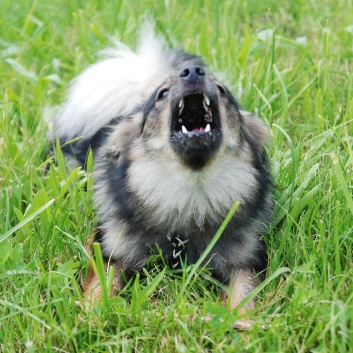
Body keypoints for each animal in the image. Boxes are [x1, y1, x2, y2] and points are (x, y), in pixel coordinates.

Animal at [50, 22, 272, 324]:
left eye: (222, 90)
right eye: (162, 95)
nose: (192, 72)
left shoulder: (244, 258)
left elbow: (245, 291)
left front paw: (240, 321)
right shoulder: (112, 249)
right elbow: (101, 284)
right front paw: (92, 315)